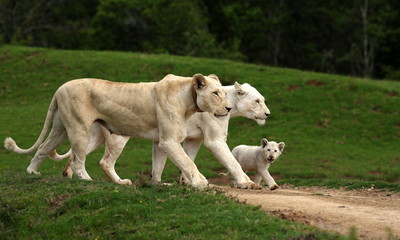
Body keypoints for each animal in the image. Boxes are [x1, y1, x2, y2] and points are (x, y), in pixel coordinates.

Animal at [3, 74, 230, 188]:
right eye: (216, 93)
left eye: (223, 92)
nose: (228, 108)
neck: (189, 101)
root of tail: (59, 88)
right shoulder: (169, 140)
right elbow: (188, 162)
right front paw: (200, 183)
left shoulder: (161, 141)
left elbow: (158, 165)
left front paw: (158, 184)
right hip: (80, 127)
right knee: (80, 160)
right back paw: (86, 179)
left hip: (61, 128)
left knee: (43, 147)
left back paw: (32, 172)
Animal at [53, 81, 270, 188]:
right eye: (257, 101)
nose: (268, 114)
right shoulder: (214, 140)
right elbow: (231, 162)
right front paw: (246, 183)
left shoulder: (193, 139)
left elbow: (185, 159)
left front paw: (183, 181)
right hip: (119, 136)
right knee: (104, 161)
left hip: (96, 135)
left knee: (76, 153)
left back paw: (69, 175)